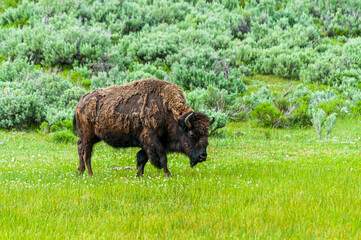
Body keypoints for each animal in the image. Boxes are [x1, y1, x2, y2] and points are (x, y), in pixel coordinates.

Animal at [74, 79, 214, 176]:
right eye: (192, 134)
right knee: (86, 153)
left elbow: (143, 158)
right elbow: (162, 157)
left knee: (80, 146)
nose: (203, 156)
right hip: (88, 136)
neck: (167, 110)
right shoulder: (152, 139)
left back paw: (80, 172)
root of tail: (80, 102)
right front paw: (168, 174)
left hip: (94, 137)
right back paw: (90, 174)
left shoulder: (149, 142)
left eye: (207, 134)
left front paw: (139, 175)